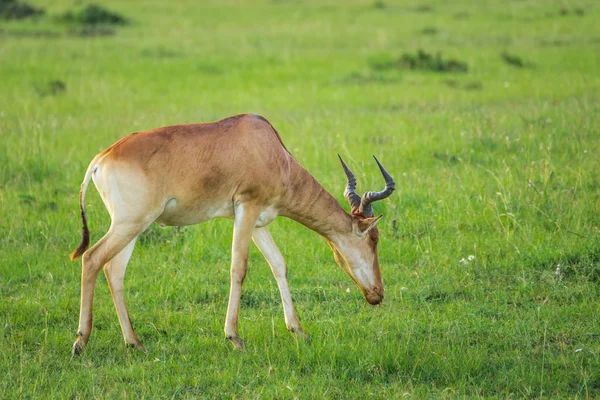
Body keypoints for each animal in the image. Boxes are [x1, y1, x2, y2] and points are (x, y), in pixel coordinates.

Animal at [69, 112, 394, 354]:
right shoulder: (245, 208)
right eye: (374, 238)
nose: (378, 294)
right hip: (130, 223)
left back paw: (134, 342)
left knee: (114, 271)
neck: (268, 146)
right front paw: (234, 337)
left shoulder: (259, 221)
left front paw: (298, 331)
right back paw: (80, 341)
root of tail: (101, 159)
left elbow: (279, 265)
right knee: (91, 258)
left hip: (132, 227)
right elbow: (239, 268)